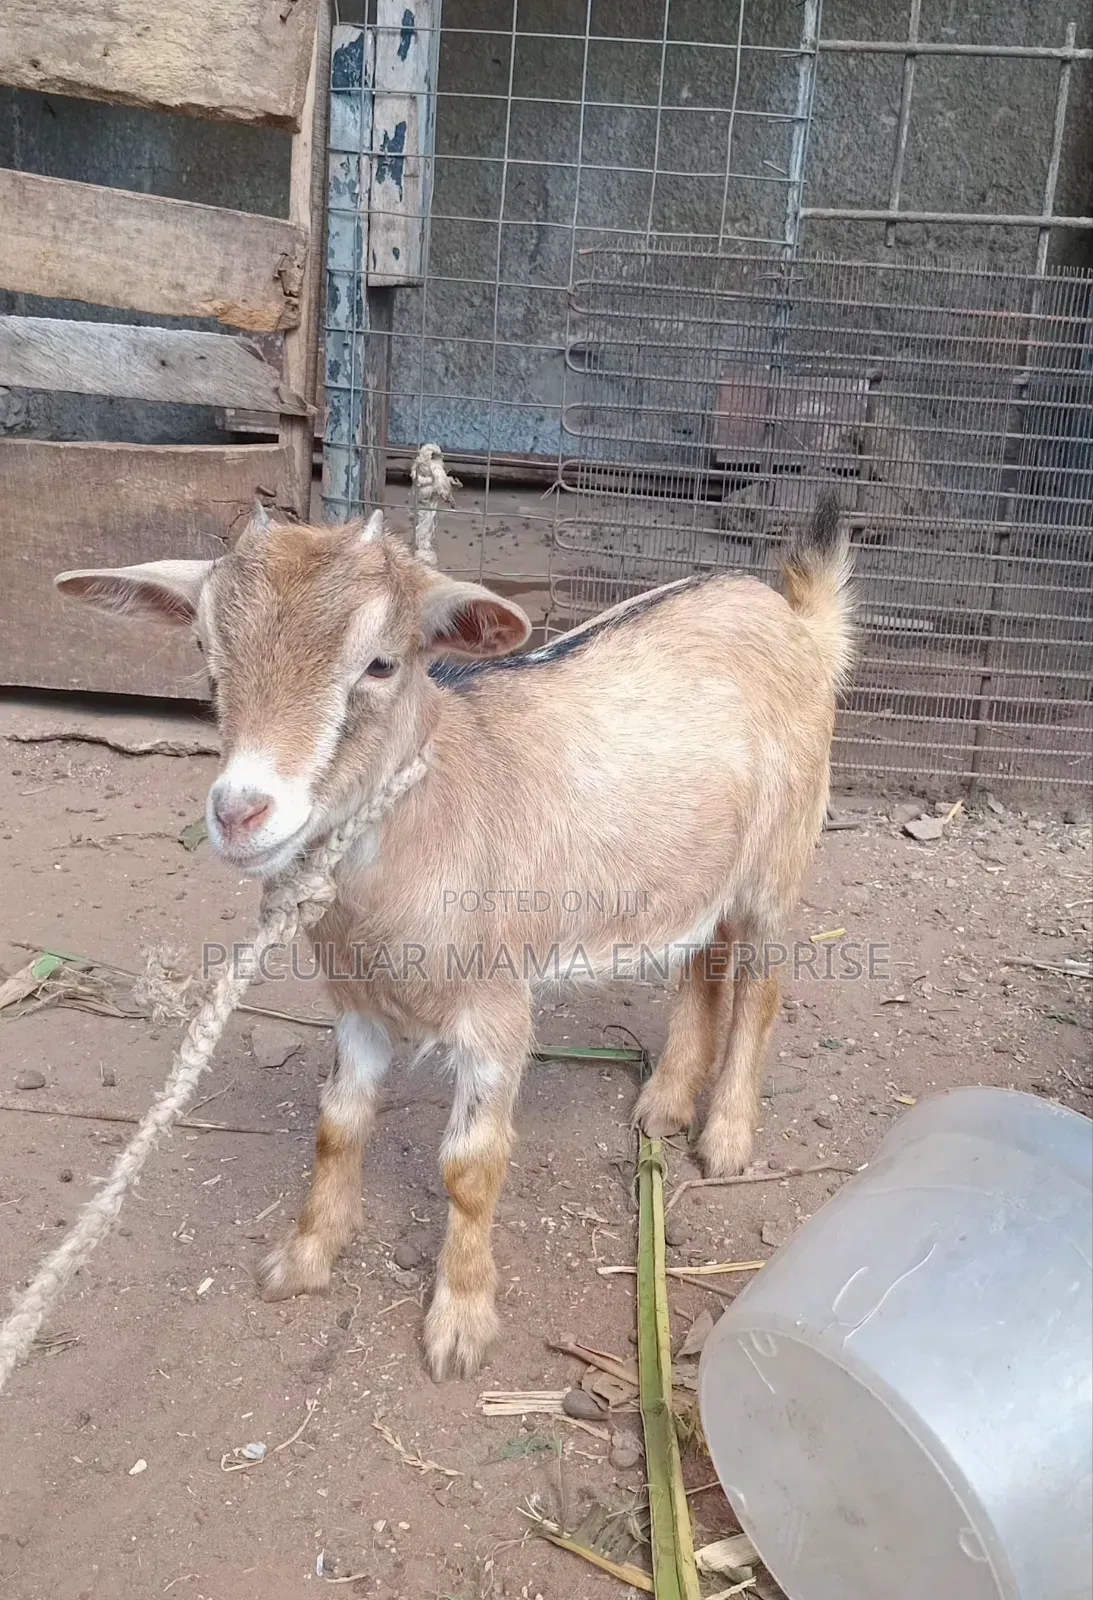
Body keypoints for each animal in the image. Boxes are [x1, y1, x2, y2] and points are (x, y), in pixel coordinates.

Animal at [55, 495, 853, 1379]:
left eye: (380, 664)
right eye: (205, 653)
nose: (239, 812)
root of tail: (792, 615)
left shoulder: (497, 1007)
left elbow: (470, 1165)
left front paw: (460, 1324)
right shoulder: (355, 1004)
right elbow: (338, 1124)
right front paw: (304, 1259)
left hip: (779, 858)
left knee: (762, 983)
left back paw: (725, 1136)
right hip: (694, 868)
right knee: (702, 959)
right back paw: (664, 1103)